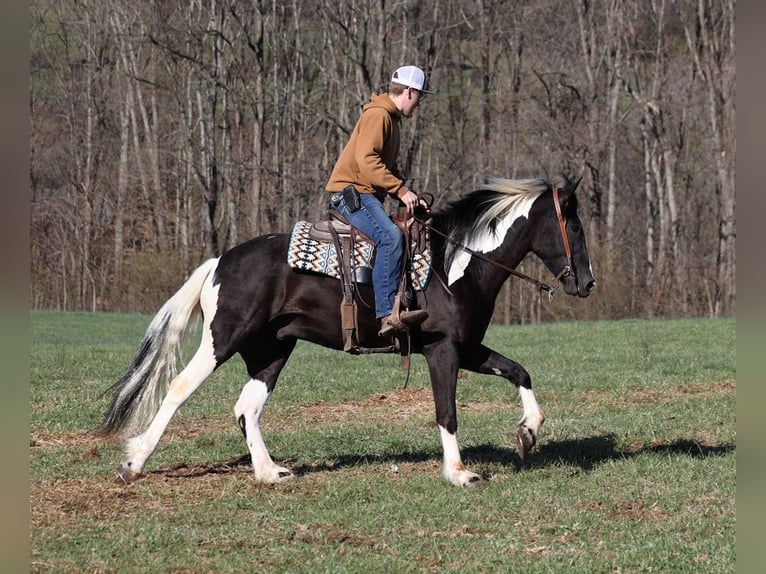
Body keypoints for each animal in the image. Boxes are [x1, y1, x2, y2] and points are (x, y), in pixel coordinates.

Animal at [99, 176, 596, 486]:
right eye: (573, 225)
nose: (587, 283)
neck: (452, 267)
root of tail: (221, 261)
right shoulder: (443, 352)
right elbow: (447, 412)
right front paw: (459, 472)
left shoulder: (467, 347)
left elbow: (519, 371)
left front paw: (528, 432)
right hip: (224, 339)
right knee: (180, 387)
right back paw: (134, 463)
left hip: (271, 350)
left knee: (246, 407)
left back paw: (269, 472)